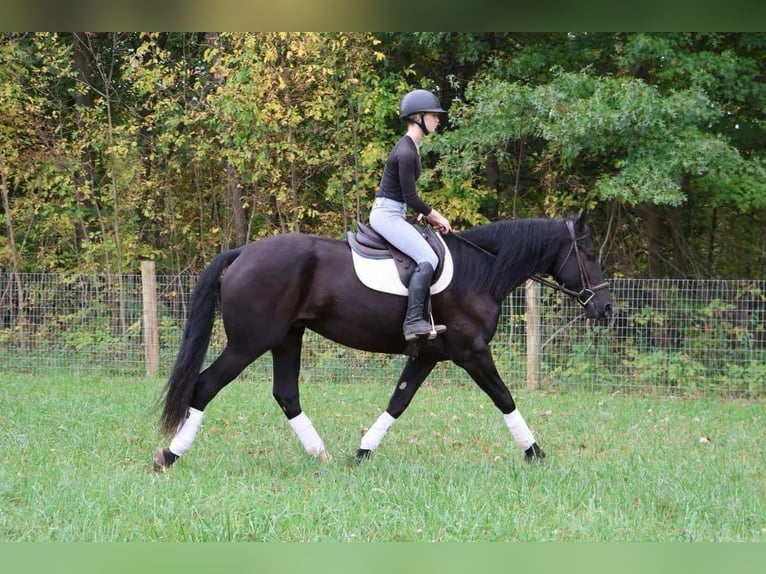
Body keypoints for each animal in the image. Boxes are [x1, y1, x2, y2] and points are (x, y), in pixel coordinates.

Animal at [154, 215, 612, 472]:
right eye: (588, 254)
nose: (605, 307)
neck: (478, 272)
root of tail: (243, 253)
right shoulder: (472, 352)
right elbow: (504, 397)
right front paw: (535, 453)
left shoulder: (428, 355)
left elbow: (398, 402)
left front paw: (362, 453)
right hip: (250, 342)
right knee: (205, 386)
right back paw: (169, 456)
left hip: (287, 338)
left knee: (285, 394)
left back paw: (321, 456)